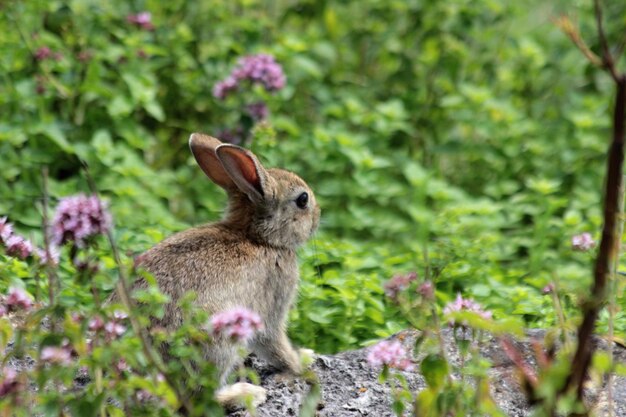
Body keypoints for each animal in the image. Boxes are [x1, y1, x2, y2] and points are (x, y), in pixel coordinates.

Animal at [135, 133, 320, 406]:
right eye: (303, 199)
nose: (318, 216)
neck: (259, 238)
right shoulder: (272, 309)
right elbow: (276, 346)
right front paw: (301, 364)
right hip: (216, 339)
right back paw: (249, 393)